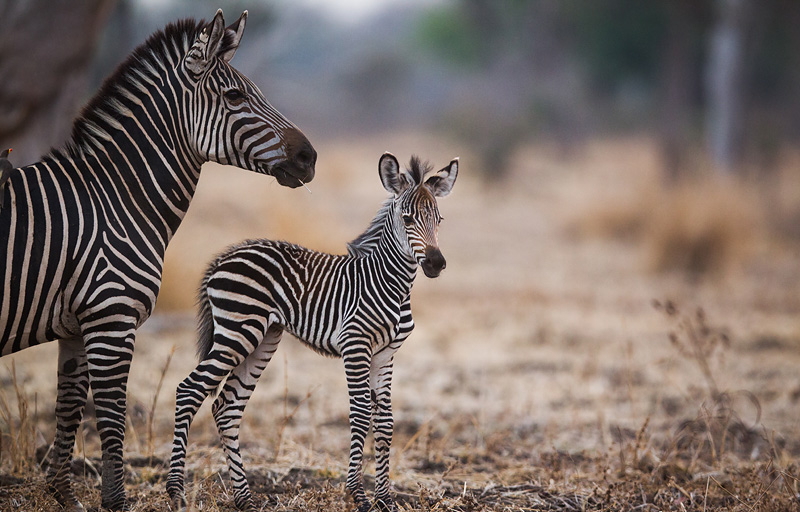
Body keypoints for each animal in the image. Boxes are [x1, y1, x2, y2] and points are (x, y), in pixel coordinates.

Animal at [0, 10, 316, 512]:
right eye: (235, 96)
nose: (310, 157)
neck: (114, 200)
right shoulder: (112, 317)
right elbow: (112, 415)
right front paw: (115, 502)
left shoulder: (77, 325)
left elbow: (69, 406)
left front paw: (62, 495)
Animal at [168, 152, 458, 512]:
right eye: (407, 219)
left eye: (439, 220)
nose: (435, 263)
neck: (389, 283)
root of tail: (225, 256)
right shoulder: (355, 346)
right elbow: (360, 414)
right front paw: (358, 494)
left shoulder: (386, 353)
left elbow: (386, 421)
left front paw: (386, 499)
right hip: (237, 332)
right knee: (189, 390)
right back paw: (177, 492)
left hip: (263, 338)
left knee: (226, 407)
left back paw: (245, 498)